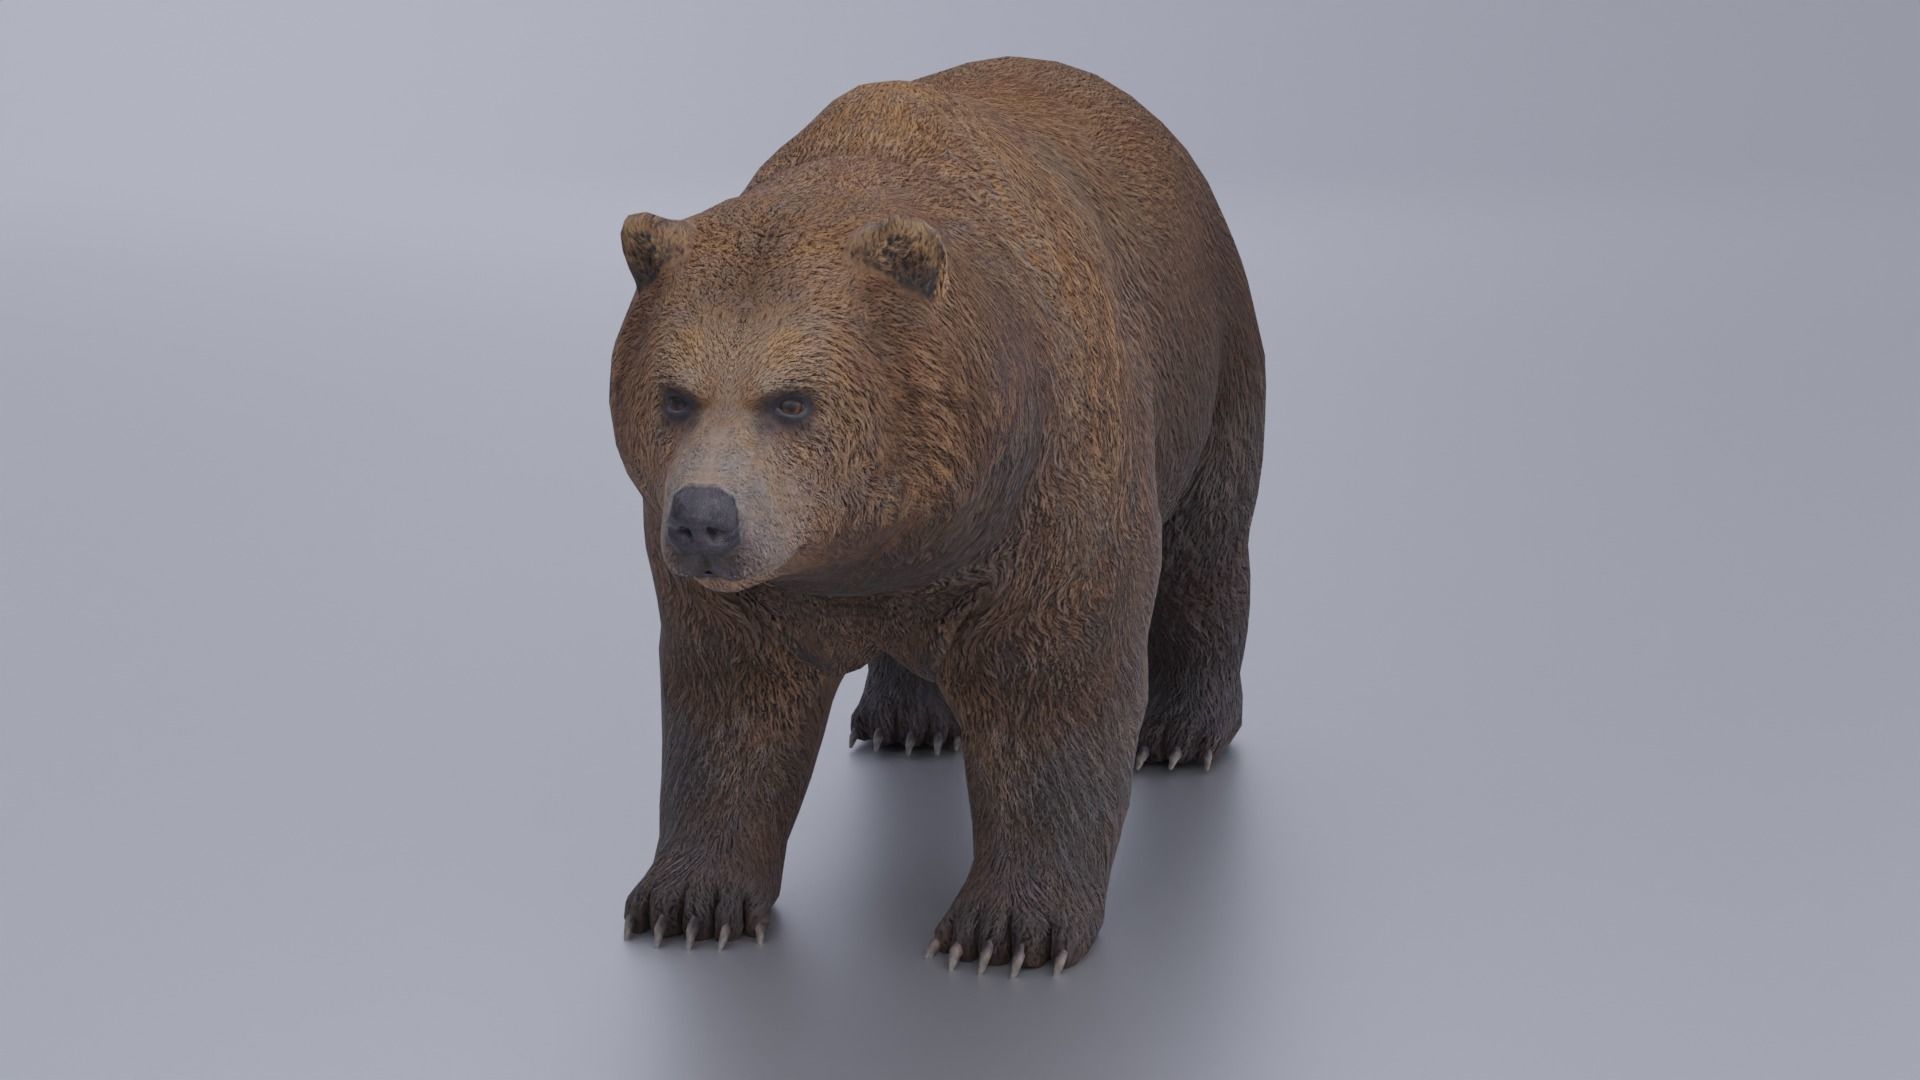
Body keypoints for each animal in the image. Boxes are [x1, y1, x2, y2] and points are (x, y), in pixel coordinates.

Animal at [610, 56, 1264, 974]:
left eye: (791, 401)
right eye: (675, 395)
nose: (705, 519)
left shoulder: (1053, 486)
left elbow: (1054, 686)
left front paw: (1008, 928)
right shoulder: (759, 578)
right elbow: (732, 698)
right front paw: (689, 898)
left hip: (1212, 360)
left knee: (1208, 542)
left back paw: (1182, 729)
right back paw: (907, 718)